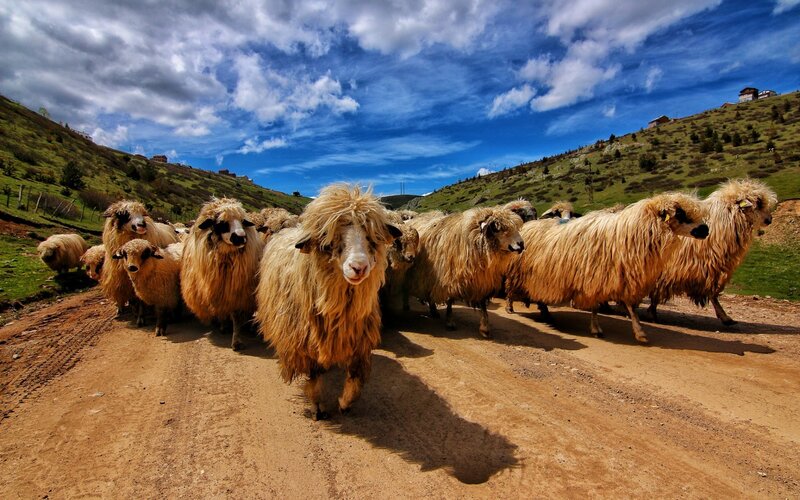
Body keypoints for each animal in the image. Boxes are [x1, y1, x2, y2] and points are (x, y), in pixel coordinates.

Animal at [180, 198, 263, 350]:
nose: (241, 237)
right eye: (221, 223)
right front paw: (224, 326)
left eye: (243, 221)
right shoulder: (217, 290)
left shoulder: (236, 292)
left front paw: (236, 341)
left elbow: (236, 317)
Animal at [255, 184, 401, 420]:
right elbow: (314, 376)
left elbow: (355, 377)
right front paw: (318, 406)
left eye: (371, 236)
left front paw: (345, 403)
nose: (359, 267)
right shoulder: (305, 340)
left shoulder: (359, 339)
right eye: (328, 240)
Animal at [405, 206, 524, 338]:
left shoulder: (481, 281)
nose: (522, 244)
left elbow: (483, 305)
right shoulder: (448, 278)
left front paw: (485, 328)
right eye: (500, 228)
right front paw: (450, 322)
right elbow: (450, 301)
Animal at [504, 192, 709, 343]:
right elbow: (595, 306)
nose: (706, 230)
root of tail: (530, 225)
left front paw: (639, 332)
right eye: (680, 213)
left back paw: (545, 313)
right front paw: (596, 329)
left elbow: (631, 307)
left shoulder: (621, 276)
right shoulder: (593, 277)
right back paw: (511, 307)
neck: (628, 233)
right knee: (511, 290)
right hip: (521, 274)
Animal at [648, 179, 777, 325]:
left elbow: (713, 294)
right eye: (759, 203)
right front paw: (652, 312)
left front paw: (725, 317)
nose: (770, 219)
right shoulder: (673, 268)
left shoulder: (711, 268)